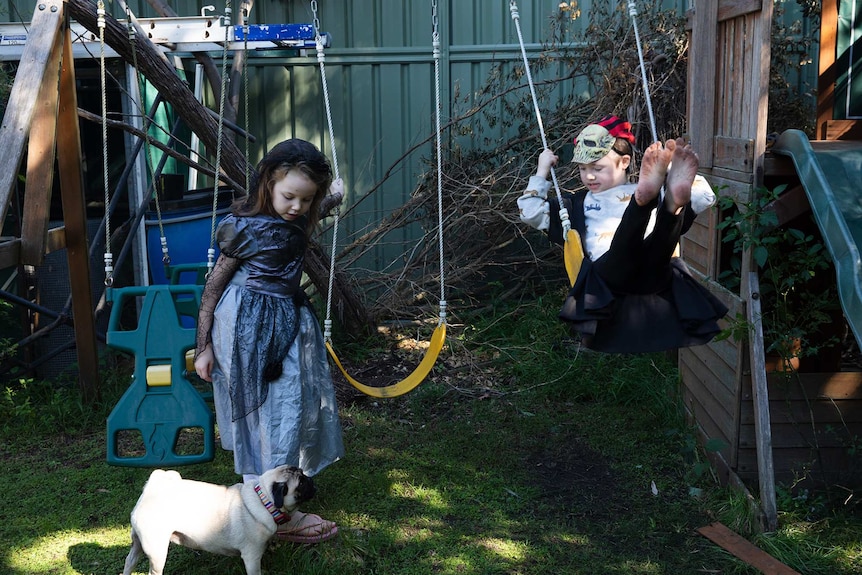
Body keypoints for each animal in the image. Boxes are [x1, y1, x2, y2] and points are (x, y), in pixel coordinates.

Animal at [123, 466, 316, 572]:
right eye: (301, 483)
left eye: (303, 476)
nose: (311, 480)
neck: (264, 500)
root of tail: (151, 489)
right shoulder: (252, 557)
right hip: (157, 551)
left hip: (138, 543)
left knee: (129, 562)